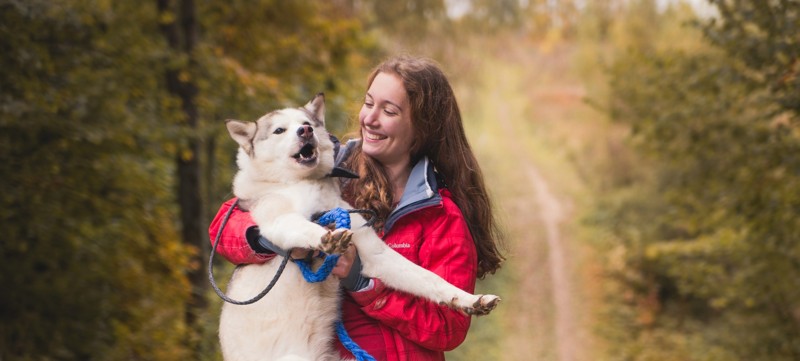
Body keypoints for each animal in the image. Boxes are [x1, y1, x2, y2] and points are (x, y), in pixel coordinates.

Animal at [219, 93, 500, 360]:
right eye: (279, 130)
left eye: (307, 123)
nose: (305, 131)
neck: (305, 183)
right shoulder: (277, 222)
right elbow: (304, 226)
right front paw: (326, 238)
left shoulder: (375, 253)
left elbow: (431, 279)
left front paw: (470, 301)